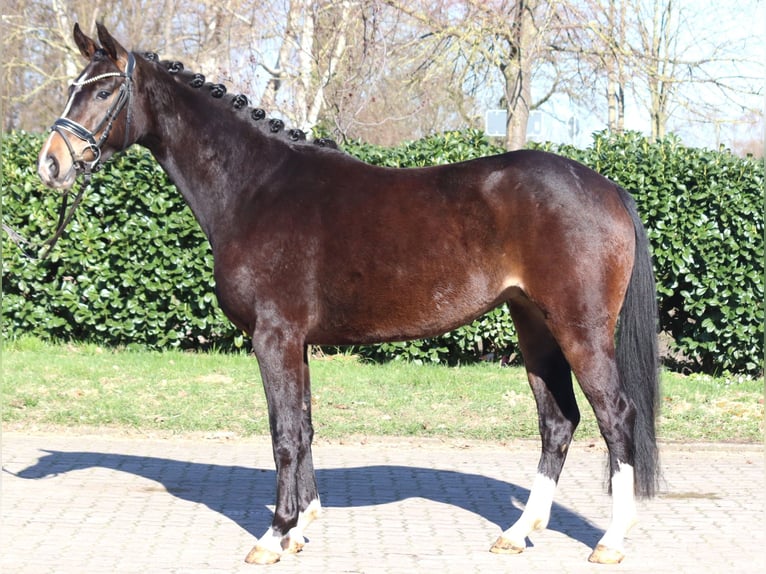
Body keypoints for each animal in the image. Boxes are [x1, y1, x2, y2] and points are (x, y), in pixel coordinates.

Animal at [37, 23, 660, 566]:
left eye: (104, 89)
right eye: (72, 87)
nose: (51, 163)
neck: (254, 188)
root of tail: (606, 187)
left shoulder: (274, 337)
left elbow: (284, 434)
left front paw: (274, 536)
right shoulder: (296, 344)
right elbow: (306, 426)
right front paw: (302, 527)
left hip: (579, 329)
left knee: (616, 416)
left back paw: (611, 542)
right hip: (533, 325)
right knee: (558, 421)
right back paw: (518, 531)